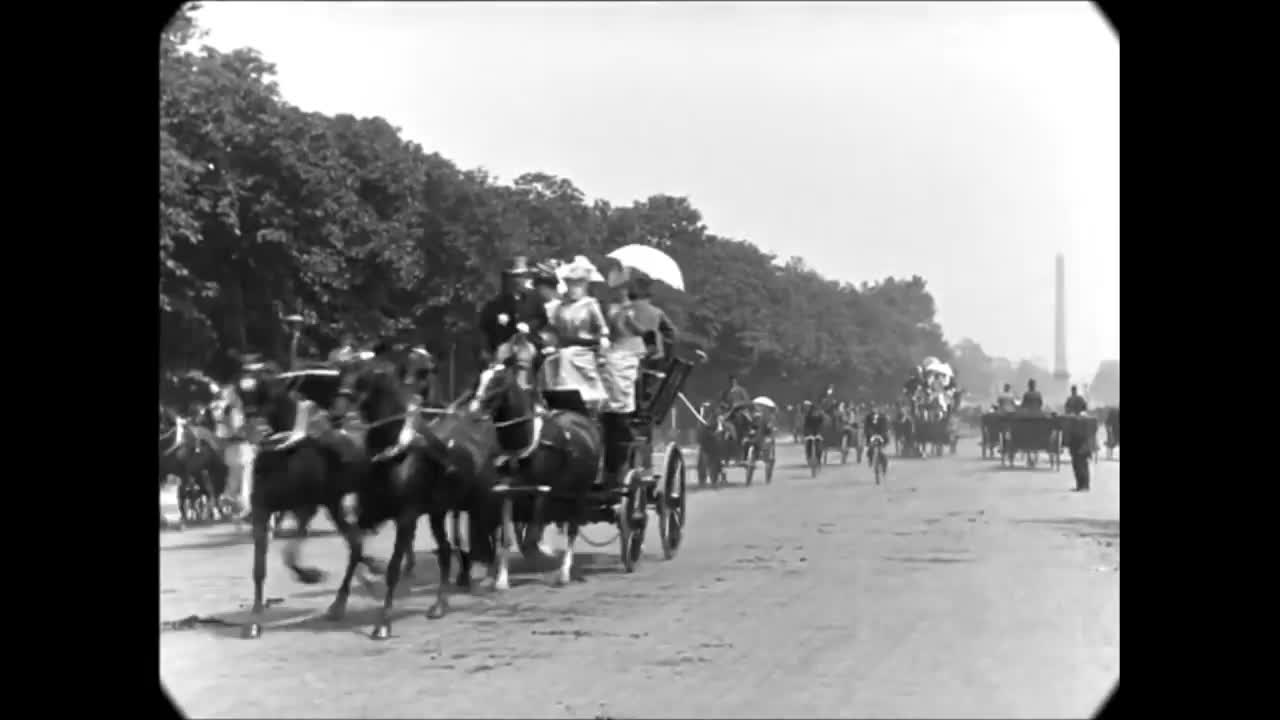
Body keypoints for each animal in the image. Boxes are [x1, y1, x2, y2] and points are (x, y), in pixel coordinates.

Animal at [220, 361, 381, 635]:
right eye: (241, 392)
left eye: (262, 389)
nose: (249, 430)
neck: (284, 451)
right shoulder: (264, 509)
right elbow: (262, 565)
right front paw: (256, 612)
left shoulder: (307, 506)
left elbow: (291, 552)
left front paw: (311, 575)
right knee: (355, 542)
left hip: (335, 502)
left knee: (356, 543)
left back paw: (340, 602)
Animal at [471, 358, 604, 589]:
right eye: (481, 379)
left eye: (497, 382)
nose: (474, 410)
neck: (523, 444)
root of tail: (586, 423)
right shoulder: (507, 491)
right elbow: (507, 536)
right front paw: (502, 580)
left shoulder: (542, 490)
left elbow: (531, 535)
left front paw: (543, 555)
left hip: (580, 491)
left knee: (572, 529)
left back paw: (564, 572)